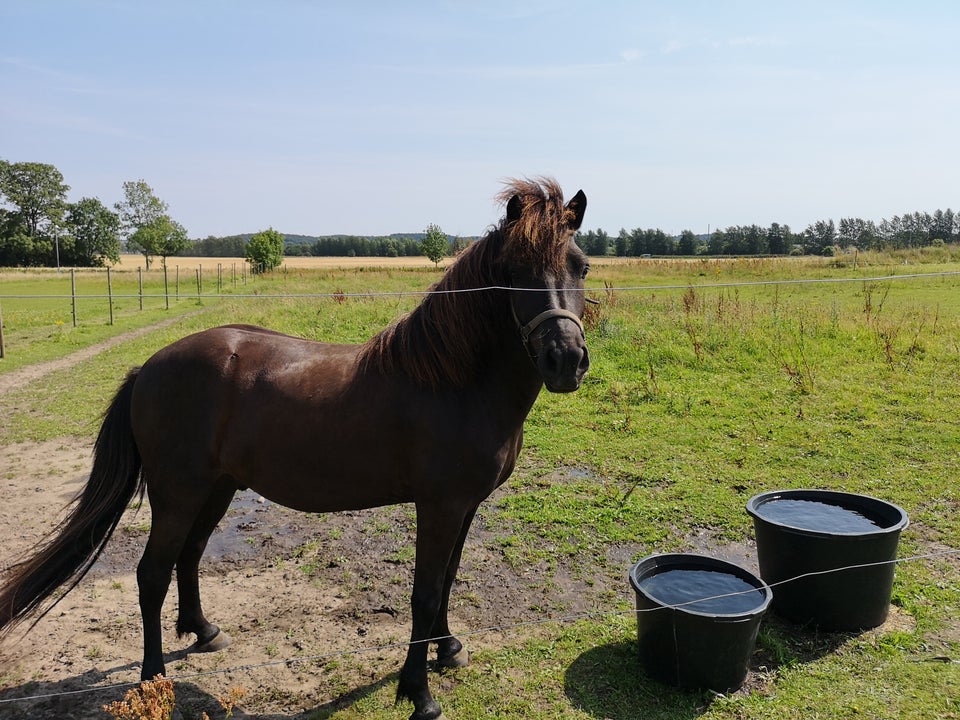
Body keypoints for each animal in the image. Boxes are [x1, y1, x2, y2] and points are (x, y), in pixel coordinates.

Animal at [0, 176, 588, 720]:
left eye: (580, 266)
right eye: (514, 273)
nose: (566, 359)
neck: (455, 382)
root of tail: (149, 366)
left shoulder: (466, 505)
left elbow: (446, 581)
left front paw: (448, 649)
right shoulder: (439, 506)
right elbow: (423, 593)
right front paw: (419, 693)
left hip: (216, 488)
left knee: (189, 555)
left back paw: (204, 632)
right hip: (177, 494)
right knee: (151, 574)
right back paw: (153, 682)